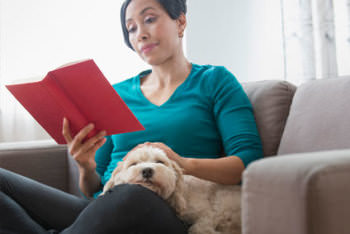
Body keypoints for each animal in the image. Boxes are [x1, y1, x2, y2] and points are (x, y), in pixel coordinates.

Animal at [102, 145, 241, 233]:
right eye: (133, 164)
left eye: (160, 162)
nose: (147, 170)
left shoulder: (208, 213)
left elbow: (199, 228)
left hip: (223, 199)